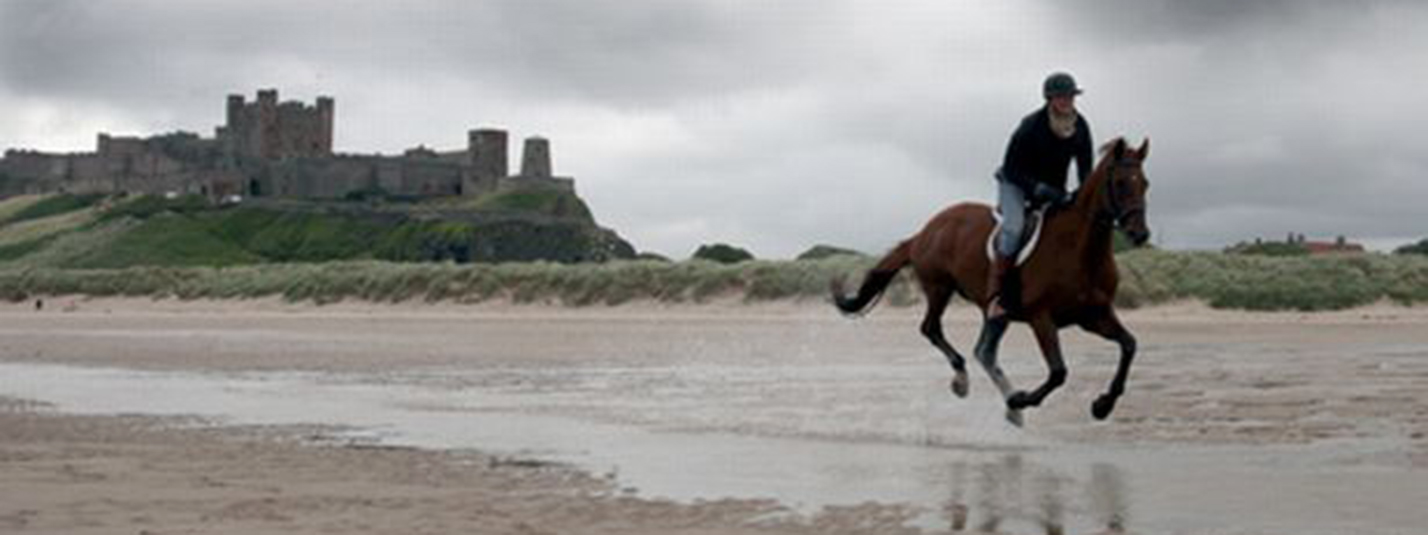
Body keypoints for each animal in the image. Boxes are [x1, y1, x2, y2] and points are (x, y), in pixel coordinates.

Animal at [833, 138, 1148, 428]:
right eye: (1120, 183)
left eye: (1144, 183)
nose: (1140, 234)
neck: (1080, 250)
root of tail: (925, 231)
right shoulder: (1041, 317)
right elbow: (1058, 372)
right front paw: (1021, 399)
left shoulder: (1094, 316)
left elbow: (1129, 346)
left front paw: (1103, 405)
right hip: (939, 287)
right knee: (932, 329)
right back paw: (966, 382)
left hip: (991, 309)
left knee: (984, 351)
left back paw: (1007, 404)